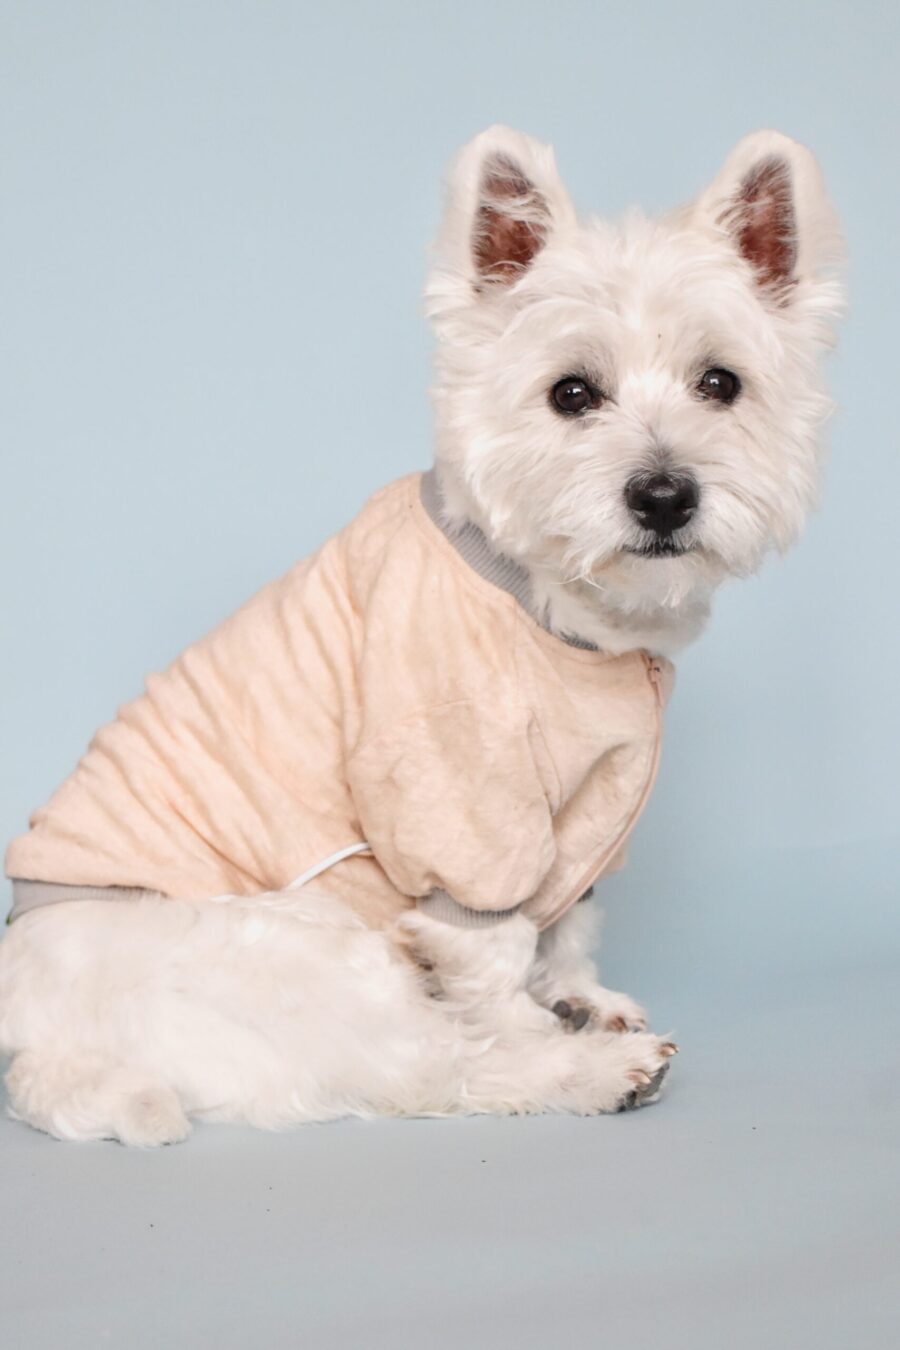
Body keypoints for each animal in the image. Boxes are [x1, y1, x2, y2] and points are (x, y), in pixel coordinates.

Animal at [0, 126, 847, 1144]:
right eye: (572, 393)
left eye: (721, 383)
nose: (664, 495)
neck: (563, 609)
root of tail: (30, 1032)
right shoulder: (464, 809)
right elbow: (490, 970)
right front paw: (546, 1028)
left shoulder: (588, 813)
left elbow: (570, 923)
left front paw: (582, 994)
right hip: (319, 958)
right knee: (437, 1068)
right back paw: (599, 1073)